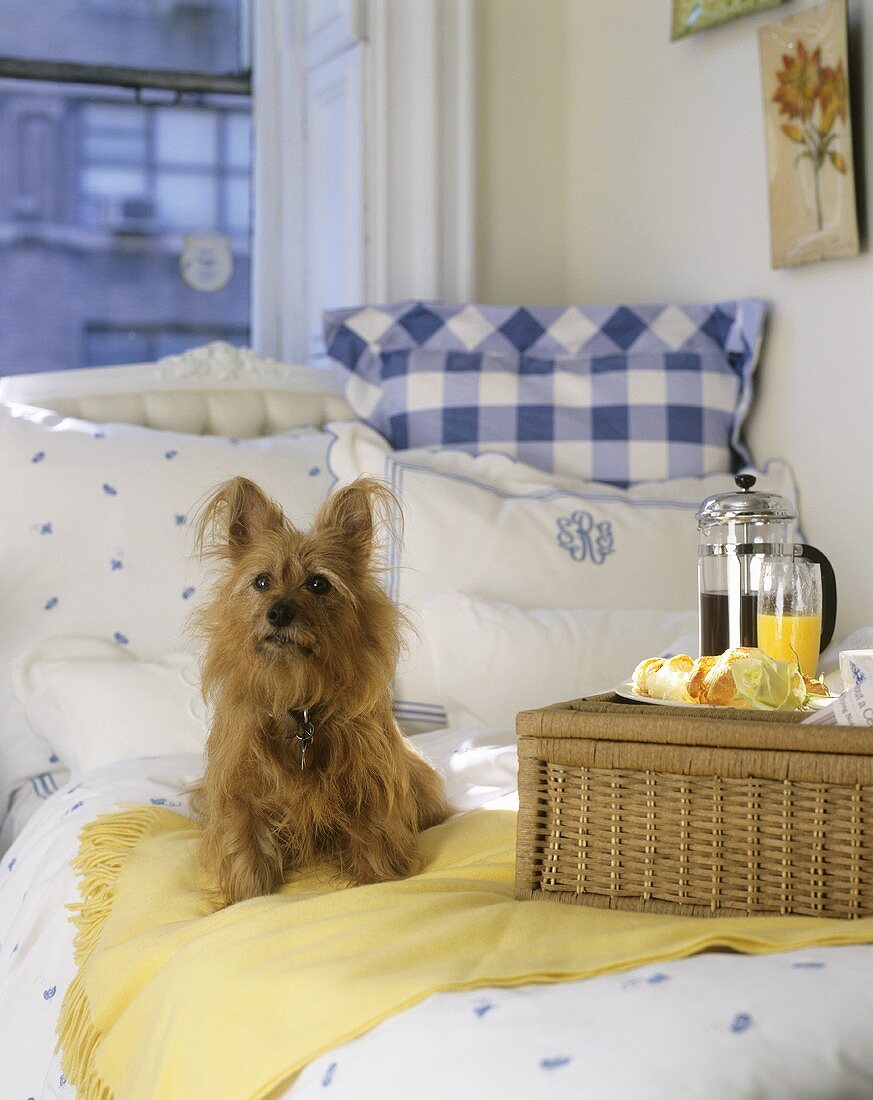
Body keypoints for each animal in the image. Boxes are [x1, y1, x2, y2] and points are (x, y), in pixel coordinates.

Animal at [189, 477, 448, 906]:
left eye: (318, 583)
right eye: (262, 581)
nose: (278, 612)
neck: (298, 700)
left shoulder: (371, 787)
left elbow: (376, 851)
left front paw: (379, 884)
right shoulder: (241, 795)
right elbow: (246, 858)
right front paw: (245, 901)